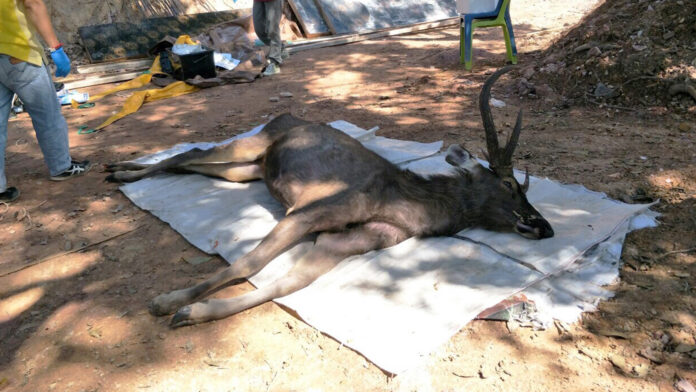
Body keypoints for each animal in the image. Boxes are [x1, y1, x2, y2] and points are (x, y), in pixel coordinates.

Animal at [106, 66, 552, 328]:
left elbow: (286, 284)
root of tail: (283, 117)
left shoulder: (343, 241)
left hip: (251, 169)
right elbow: (247, 263)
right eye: (511, 186)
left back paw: (122, 171)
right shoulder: (306, 213)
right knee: (191, 152)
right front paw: (167, 301)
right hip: (253, 142)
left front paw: (191, 312)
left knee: (195, 164)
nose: (543, 227)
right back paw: (119, 171)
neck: (402, 205)